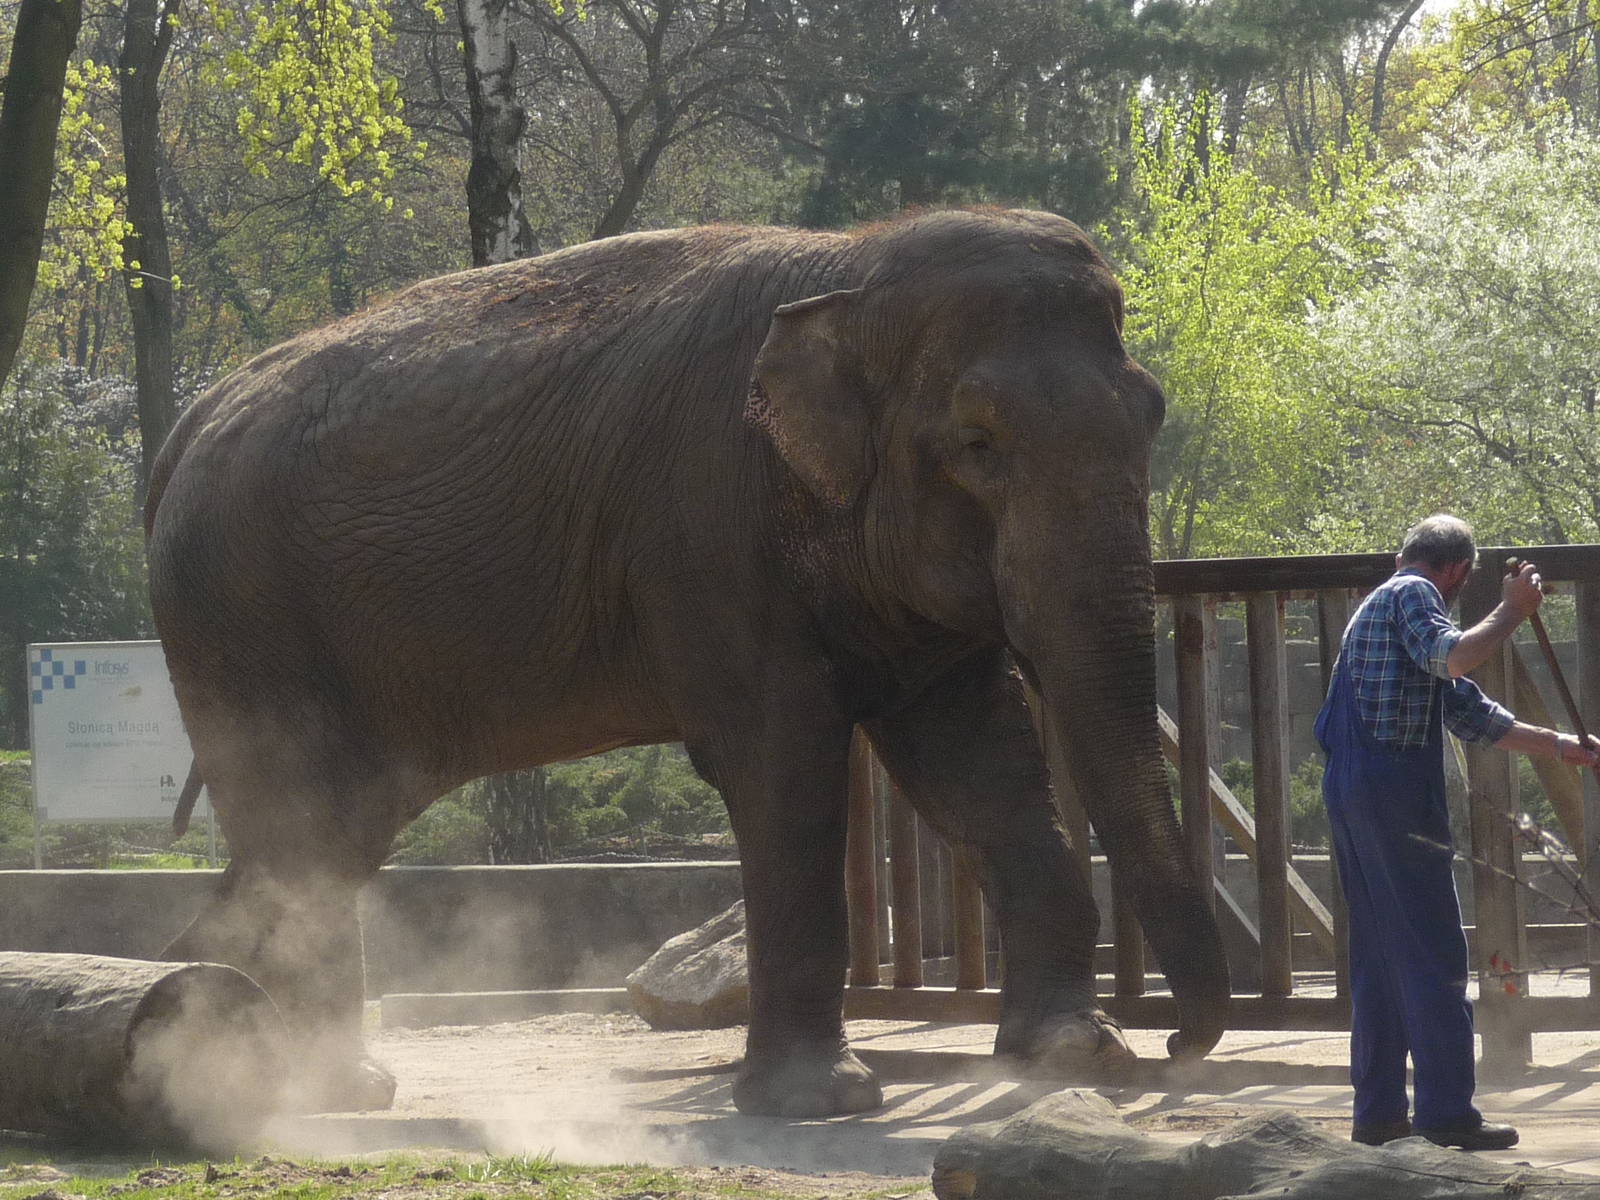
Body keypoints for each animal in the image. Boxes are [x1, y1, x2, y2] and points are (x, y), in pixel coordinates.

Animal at [144, 208, 1230, 1118]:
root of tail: (186, 424)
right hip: (240, 616)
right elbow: (780, 762)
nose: (1181, 1045)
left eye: (1153, 413)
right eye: (976, 442)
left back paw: (215, 1028)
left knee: (322, 841)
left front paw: (1073, 1056)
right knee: (303, 835)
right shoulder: (707, 534)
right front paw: (820, 1103)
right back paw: (301, 1083)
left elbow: (978, 759)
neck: (852, 264)